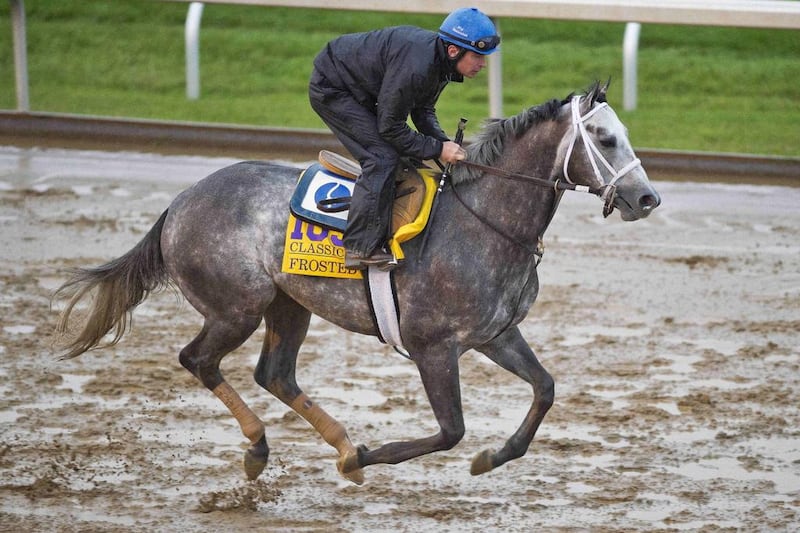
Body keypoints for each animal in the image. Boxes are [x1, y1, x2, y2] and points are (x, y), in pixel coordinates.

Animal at [54, 81, 656, 484]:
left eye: (626, 134)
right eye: (605, 138)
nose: (647, 198)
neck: (483, 221)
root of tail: (180, 201)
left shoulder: (495, 334)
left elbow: (545, 389)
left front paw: (491, 458)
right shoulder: (433, 347)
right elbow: (451, 431)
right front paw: (369, 455)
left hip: (289, 303)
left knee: (275, 374)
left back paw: (337, 443)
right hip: (236, 307)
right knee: (198, 360)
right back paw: (263, 448)